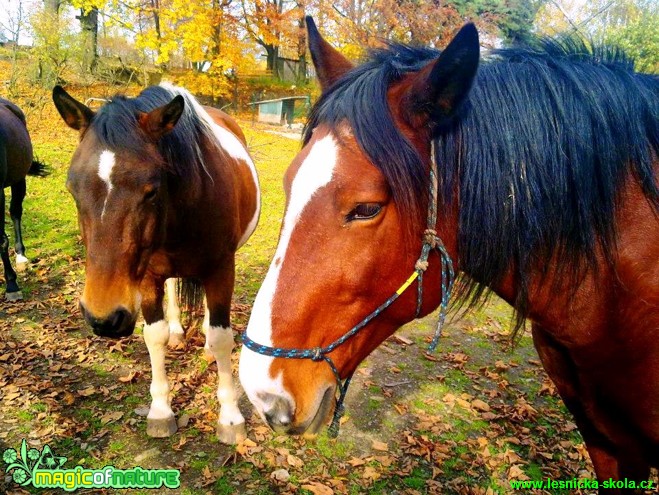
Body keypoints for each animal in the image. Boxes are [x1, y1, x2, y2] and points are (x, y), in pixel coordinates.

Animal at [53, 83, 260, 444]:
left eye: (151, 191)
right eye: (72, 190)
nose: (104, 318)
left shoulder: (221, 269)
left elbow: (222, 339)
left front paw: (231, 417)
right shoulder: (147, 277)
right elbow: (154, 335)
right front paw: (161, 410)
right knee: (175, 287)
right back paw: (178, 330)